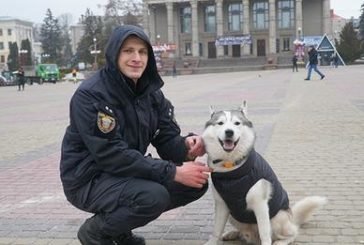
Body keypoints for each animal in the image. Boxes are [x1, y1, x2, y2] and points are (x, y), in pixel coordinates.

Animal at [202, 101, 328, 245]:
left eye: (237, 123)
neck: (231, 171)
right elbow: (217, 229)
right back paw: (233, 233)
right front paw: (212, 241)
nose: (229, 132)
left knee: (293, 232)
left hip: (277, 219)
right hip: (233, 216)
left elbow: (264, 233)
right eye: (220, 123)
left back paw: (281, 241)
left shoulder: (260, 204)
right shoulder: (222, 205)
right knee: (242, 232)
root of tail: (291, 215)